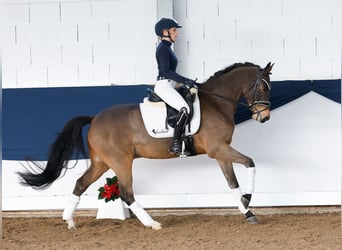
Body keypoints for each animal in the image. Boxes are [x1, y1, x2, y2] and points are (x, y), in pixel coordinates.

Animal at [19, 61, 276, 229]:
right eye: (264, 87)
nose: (265, 118)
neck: (216, 103)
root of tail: (94, 118)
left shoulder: (220, 152)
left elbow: (232, 183)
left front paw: (247, 210)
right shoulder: (218, 149)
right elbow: (250, 163)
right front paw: (248, 200)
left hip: (101, 162)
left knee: (81, 183)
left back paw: (70, 220)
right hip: (121, 161)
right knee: (126, 193)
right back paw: (152, 223)